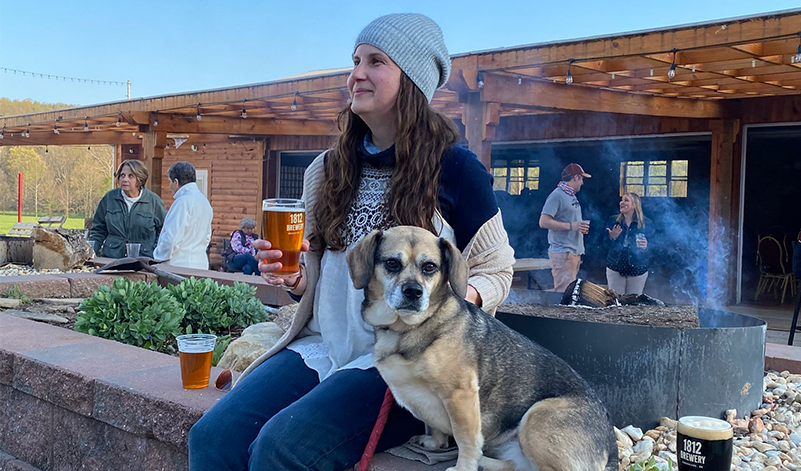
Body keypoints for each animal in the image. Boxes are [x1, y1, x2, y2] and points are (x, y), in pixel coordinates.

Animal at [346, 227, 616, 470]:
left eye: (430, 267)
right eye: (392, 263)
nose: (413, 292)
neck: (407, 329)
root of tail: (611, 448)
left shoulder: (461, 395)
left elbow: (465, 440)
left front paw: (464, 466)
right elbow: (436, 428)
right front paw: (435, 443)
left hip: (536, 418)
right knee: (514, 465)